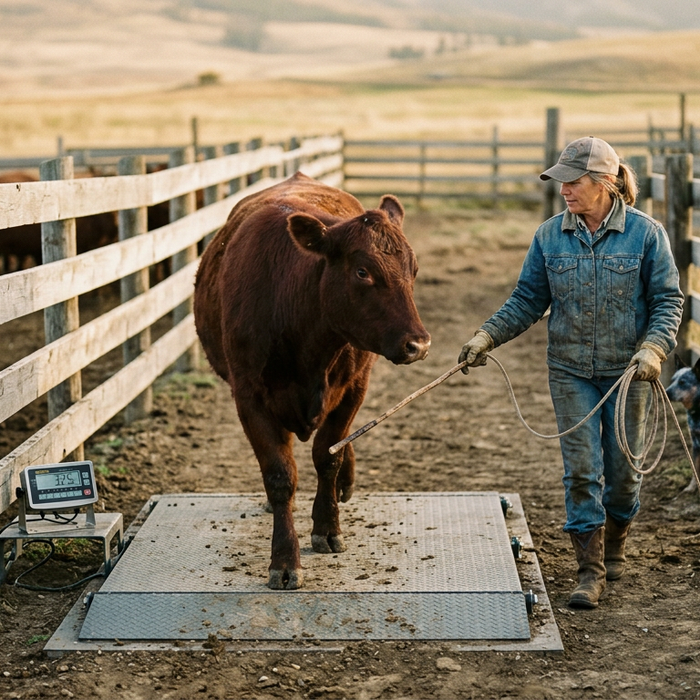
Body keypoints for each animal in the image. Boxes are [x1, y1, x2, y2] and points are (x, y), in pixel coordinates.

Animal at [194, 172, 431, 589]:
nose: (417, 344)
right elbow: (280, 475)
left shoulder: (354, 388)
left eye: (413, 269)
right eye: (362, 271)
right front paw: (285, 559)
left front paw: (327, 526)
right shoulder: (249, 396)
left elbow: (327, 456)